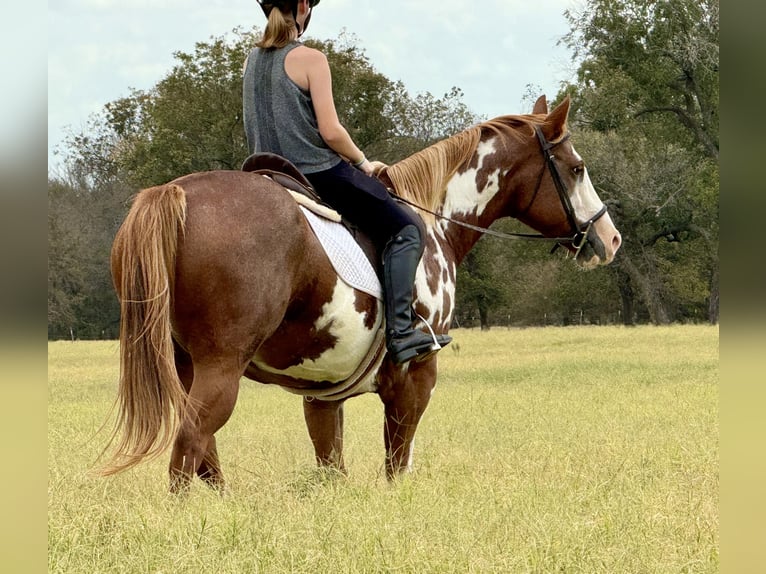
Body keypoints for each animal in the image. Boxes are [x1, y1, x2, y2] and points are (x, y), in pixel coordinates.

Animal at [102, 97, 624, 492]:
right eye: (577, 168)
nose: (610, 239)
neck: (434, 222)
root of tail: (175, 193)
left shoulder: (322, 397)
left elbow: (332, 466)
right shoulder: (415, 378)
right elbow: (397, 465)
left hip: (188, 369)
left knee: (204, 458)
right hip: (220, 368)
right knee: (189, 447)